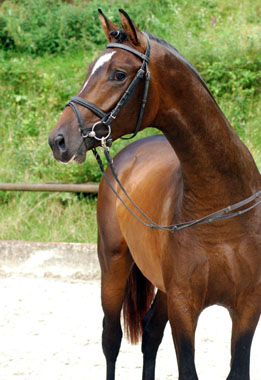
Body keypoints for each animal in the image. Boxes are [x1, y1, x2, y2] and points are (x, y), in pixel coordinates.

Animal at [47, 8, 258, 380]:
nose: (59, 140)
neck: (221, 204)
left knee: (150, 333)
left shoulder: (247, 308)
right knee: (111, 339)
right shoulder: (184, 308)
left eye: (118, 74)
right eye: (88, 71)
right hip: (113, 267)